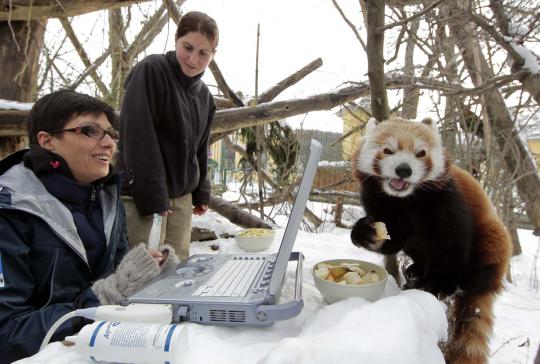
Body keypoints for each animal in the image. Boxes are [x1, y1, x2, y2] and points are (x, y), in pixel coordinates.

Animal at [350, 116, 510, 364]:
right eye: (388, 150)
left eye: (421, 153)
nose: (404, 170)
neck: (407, 199)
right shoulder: (380, 201)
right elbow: (394, 238)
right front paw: (365, 233)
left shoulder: (448, 202)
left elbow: (450, 248)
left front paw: (435, 285)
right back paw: (416, 269)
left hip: (492, 239)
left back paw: (463, 280)